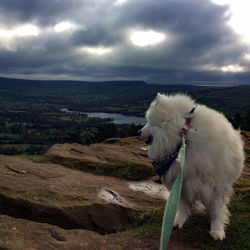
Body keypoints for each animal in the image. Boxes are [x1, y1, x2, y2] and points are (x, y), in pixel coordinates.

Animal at [140, 93, 245, 240]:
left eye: (149, 122)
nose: (138, 132)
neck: (184, 138)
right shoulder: (183, 183)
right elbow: (181, 206)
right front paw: (176, 221)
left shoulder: (215, 187)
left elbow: (216, 211)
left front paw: (217, 230)